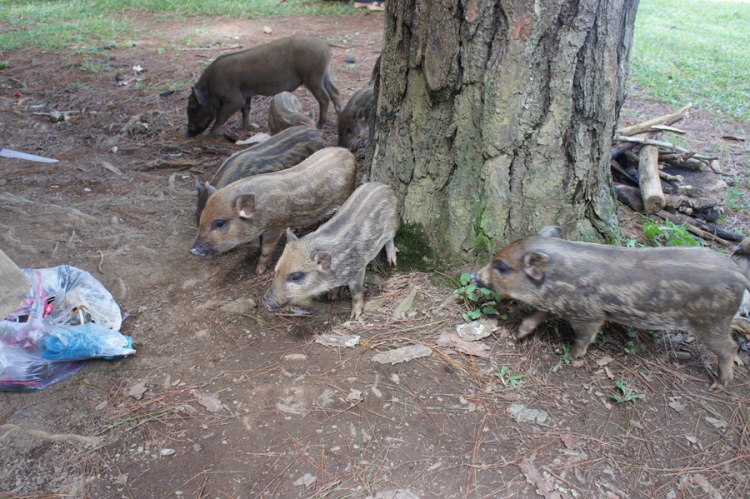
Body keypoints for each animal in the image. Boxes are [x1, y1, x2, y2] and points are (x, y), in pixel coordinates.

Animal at [188, 35, 344, 138]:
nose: (188, 133)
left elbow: (220, 117)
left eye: (193, 109)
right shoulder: (246, 96)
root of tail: (323, 43)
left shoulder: (234, 100)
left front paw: (210, 135)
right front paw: (241, 128)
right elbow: (245, 111)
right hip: (324, 75)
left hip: (313, 78)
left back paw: (319, 124)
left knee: (324, 98)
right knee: (335, 92)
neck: (210, 88)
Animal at [194, 146, 358, 276]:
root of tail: (348, 152)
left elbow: (267, 248)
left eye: (220, 223)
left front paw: (258, 272)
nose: (193, 250)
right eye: (202, 218)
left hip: (347, 192)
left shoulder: (277, 225)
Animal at [268, 182, 402, 318]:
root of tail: (385, 186)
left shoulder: (357, 269)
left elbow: (356, 291)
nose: (266, 300)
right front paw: (331, 296)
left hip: (393, 224)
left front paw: (355, 315)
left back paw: (392, 261)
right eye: (276, 270)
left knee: (390, 239)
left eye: (296, 276)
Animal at [472, 227, 750, 390]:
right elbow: (539, 314)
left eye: (502, 266)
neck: (558, 280)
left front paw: (572, 356)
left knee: (730, 348)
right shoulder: (559, 304)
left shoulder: (590, 314)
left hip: (711, 321)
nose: (474, 275)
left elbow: (584, 336)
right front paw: (521, 333)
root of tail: (739, 274)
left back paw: (719, 384)